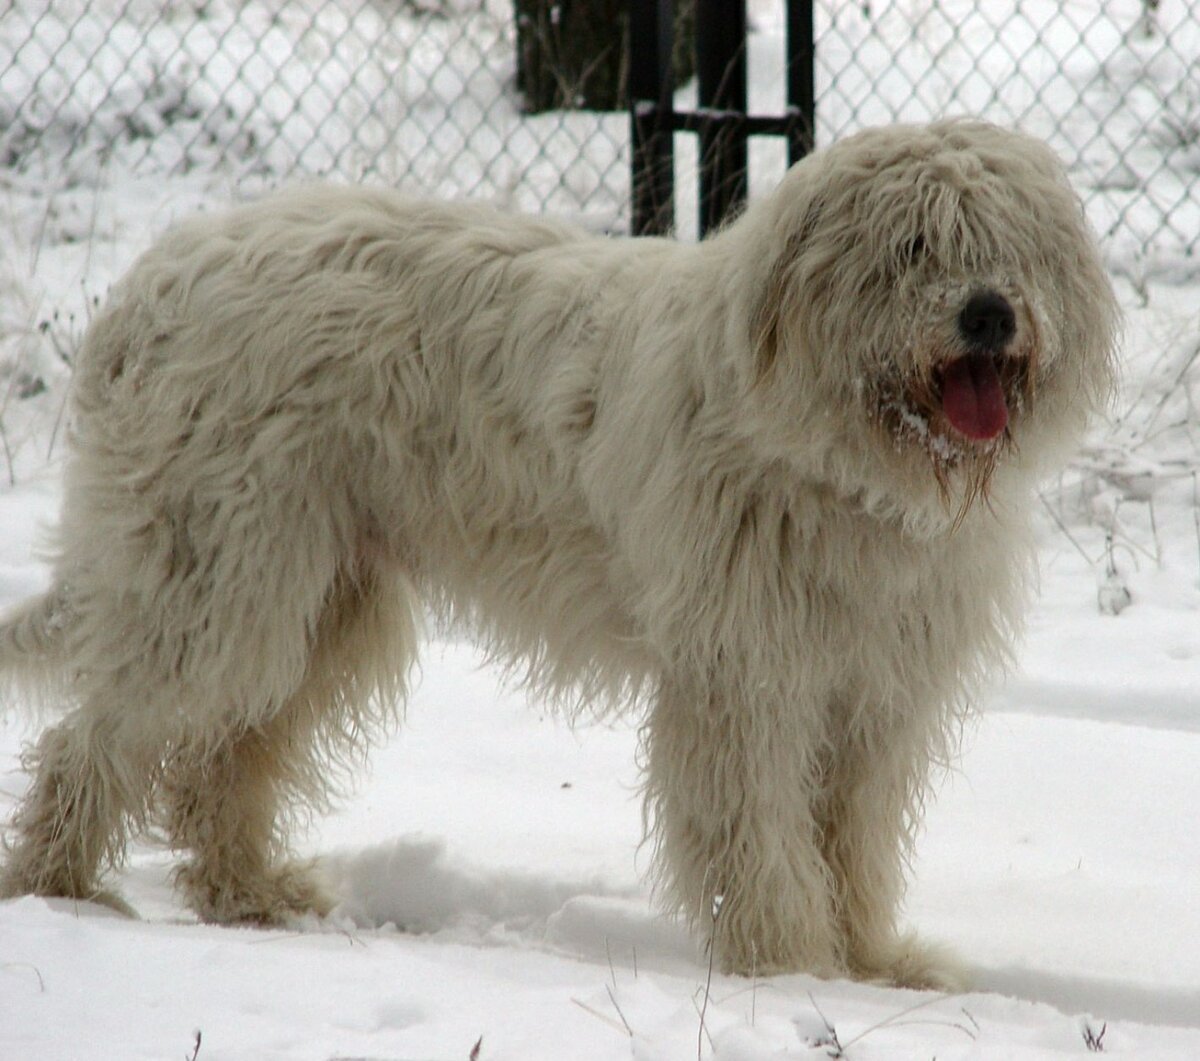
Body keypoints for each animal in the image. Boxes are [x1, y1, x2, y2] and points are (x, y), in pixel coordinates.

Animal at [4, 122, 1118, 984]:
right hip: (222, 573)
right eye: (914, 244)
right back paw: (66, 888)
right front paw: (791, 962)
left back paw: (249, 890)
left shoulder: (875, 691)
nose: (988, 312)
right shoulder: (746, 677)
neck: (839, 464)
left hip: (320, 597)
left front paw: (874, 961)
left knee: (220, 758)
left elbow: (855, 836)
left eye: (1011, 246)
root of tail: (154, 279)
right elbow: (759, 828)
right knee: (97, 737)